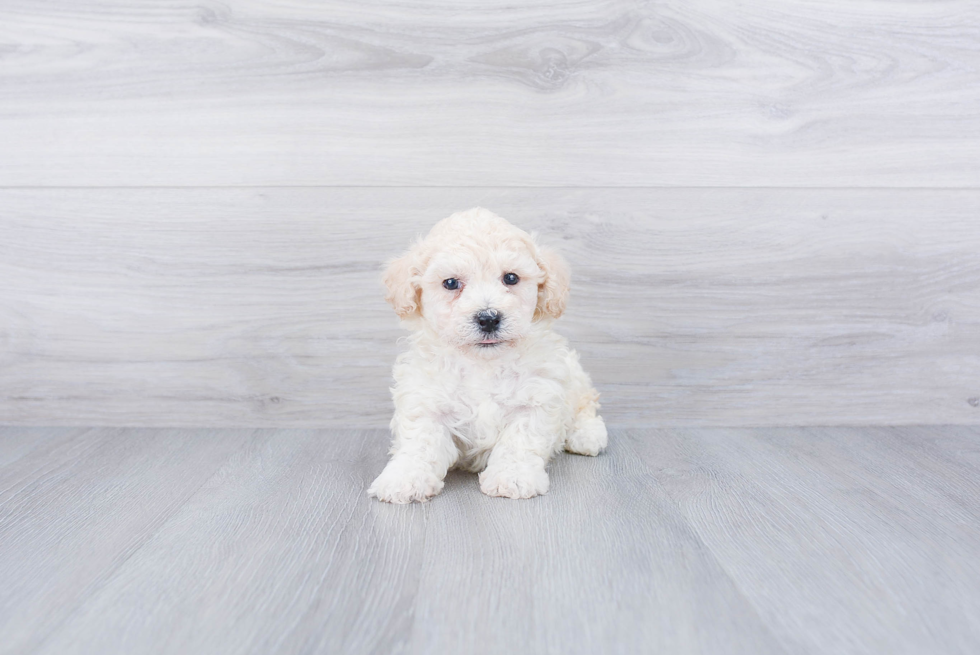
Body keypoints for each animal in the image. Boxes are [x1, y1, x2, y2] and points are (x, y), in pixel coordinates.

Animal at [368, 208, 604, 504]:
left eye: (511, 278)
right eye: (451, 283)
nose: (488, 318)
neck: (483, 363)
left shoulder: (537, 397)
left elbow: (520, 440)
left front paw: (513, 477)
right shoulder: (426, 400)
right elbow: (421, 441)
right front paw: (405, 477)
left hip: (574, 374)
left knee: (585, 404)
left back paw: (587, 435)